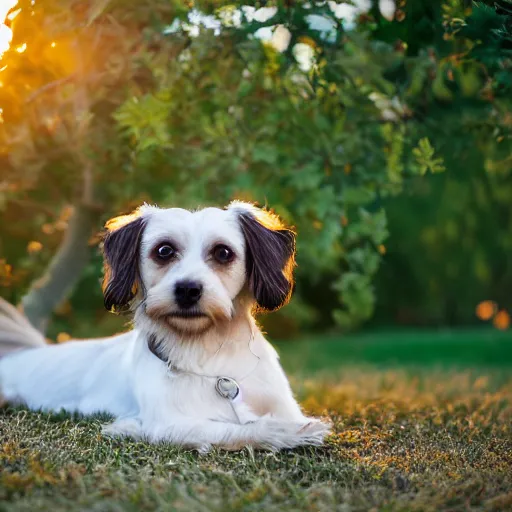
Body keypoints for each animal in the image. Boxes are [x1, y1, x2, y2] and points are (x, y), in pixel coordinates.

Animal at [0, 202, 330, 450]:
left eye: (223, 252)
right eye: (164, 250)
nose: (187, 289)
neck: (208, 354)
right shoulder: (169, 424)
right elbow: (233, 429)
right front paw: (285, 432)